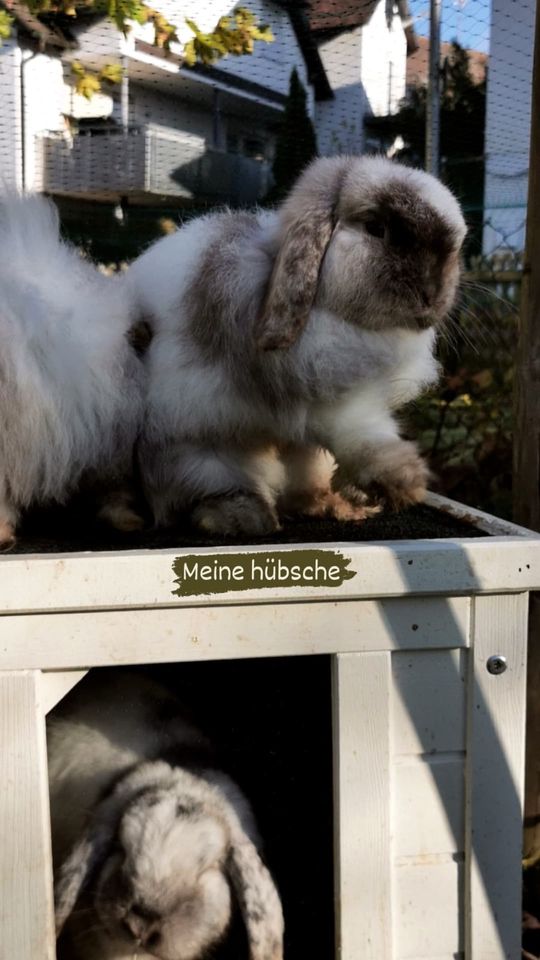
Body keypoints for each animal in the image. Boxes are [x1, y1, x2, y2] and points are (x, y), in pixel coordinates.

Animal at [127, 154, 468, 536]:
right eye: (375, 228)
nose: (432, 295)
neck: (333, 315)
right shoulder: (329, 397)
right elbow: (359, 431)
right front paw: (404, 482)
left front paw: (391, 488)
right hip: (194, 445)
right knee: (204, 487)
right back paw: (244, 517)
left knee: (304, 483)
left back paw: (335, 506)